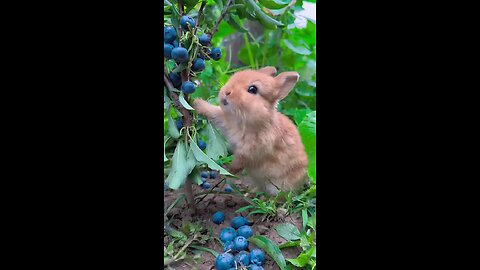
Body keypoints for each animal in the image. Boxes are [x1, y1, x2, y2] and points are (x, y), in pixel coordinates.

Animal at [194, 66, 310, 195]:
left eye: (253, 89)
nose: (227, 92)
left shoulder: (250, 151)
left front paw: (229, 171)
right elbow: (214, 112)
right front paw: (196, 103)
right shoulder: (226, 122)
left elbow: (239, 162)